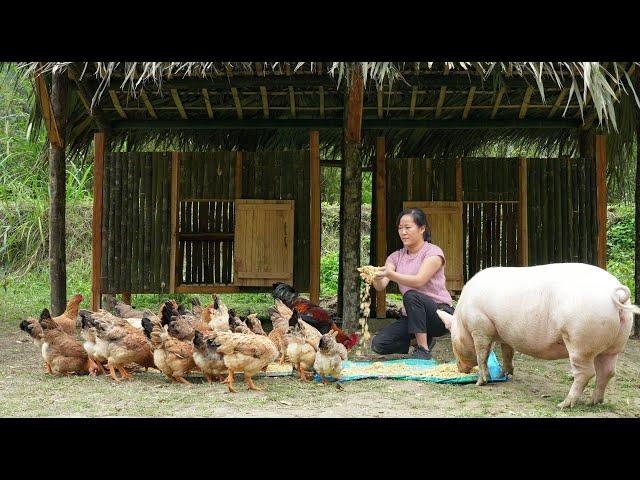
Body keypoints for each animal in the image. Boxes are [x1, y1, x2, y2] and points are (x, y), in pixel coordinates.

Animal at [436, 262, 640, 408]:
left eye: (453, 341)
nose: (459, 368)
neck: (462, 318)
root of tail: (617, 295)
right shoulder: (504, 334)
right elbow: (507, 352)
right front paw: (504, 374)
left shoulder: (480, 326)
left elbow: (482, 354)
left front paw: (480, 382)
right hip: (614, 345)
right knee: (607, 371)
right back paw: (593, 402)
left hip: (579, 341)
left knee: (586, 373)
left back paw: (564, 404)